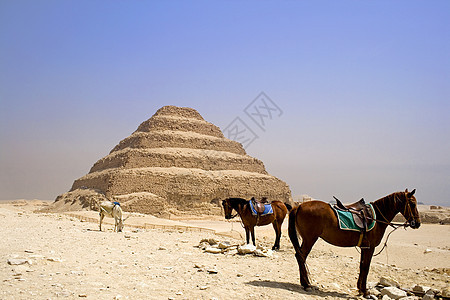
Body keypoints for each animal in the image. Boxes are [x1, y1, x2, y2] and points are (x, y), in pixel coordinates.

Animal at [288, 189, 422, 296]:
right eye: (412, 203)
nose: (417, 223)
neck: (376, 218)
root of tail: (298, 206)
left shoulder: (364, 247)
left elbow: (362, 266)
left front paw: (360, 289)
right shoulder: (370, 248)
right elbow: (366, 267)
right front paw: (365, 291)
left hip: (307, 239)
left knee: (300, 256)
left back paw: (305, 283)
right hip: (310, 239)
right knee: (301, 256)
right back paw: (306, 284)